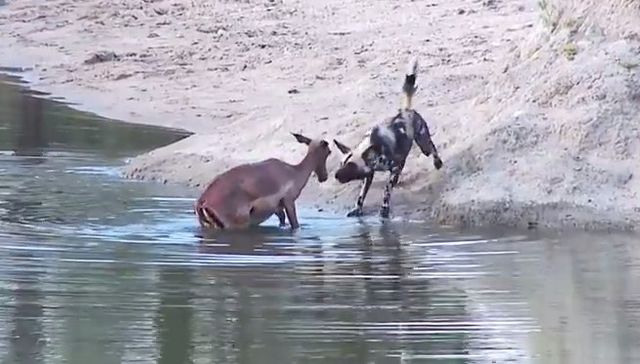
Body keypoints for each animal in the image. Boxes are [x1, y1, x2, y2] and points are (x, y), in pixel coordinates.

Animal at [191, 134, 330, 230]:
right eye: (329, 151)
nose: (324, 177)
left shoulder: (277, 208)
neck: (294, 172)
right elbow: (295, 224)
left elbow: (282, 219)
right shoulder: (289, 201)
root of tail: (202, 201)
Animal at [332, 58, 442, 218]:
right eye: (341, 164)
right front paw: (358, 209)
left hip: (424, 145)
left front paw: (384, 209)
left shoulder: (395, 168)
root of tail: (406, 111)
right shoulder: (369, 175)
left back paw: (438, 163)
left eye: (351, 167)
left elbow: (386, 191)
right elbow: (361, 196)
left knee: (432, 149)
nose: (335, 175)